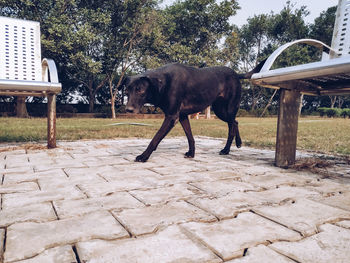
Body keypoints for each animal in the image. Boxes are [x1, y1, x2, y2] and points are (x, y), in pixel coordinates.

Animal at [123, 60, 266, 162]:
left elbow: (155, 138)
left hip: (228, 109)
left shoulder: (171, 117)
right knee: (235, 122)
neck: (163, 81)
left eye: (140, 90)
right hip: (220, 110)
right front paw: (191, 153)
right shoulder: (182, 116)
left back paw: (228, 148)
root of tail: (236, 74)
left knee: (232, 125)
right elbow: (190, 136)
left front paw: (143, 156)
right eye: (126, 91)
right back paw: (236, 144)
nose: (128, 110)